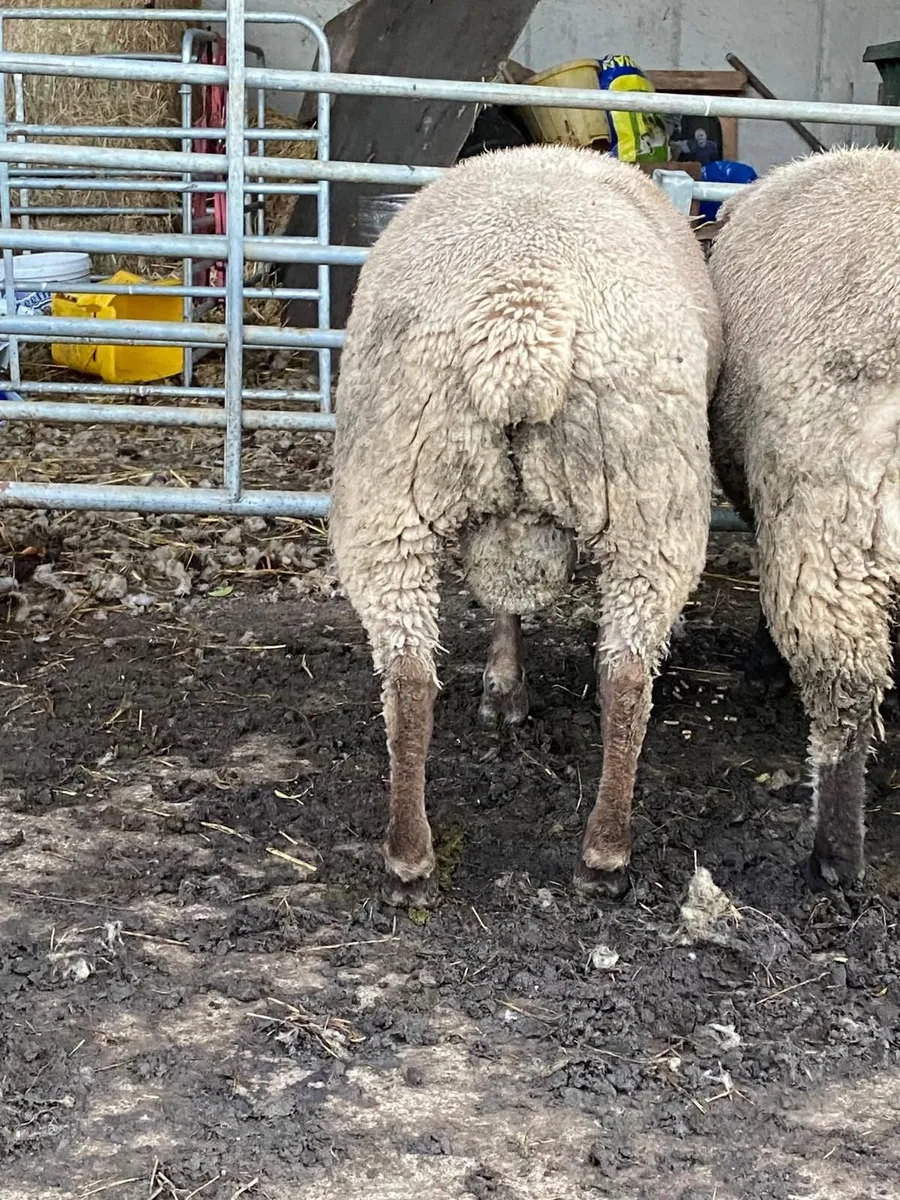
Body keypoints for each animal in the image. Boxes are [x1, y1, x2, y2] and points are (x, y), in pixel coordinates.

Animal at [330, 144, 722, 903]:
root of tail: (520, 312)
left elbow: (502, 600)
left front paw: (504, 688)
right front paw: (507, 689)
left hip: (387, 488)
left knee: (409, 676)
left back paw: (408, 859)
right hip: (650, 499)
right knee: (628, 678)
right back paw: (604, 854)